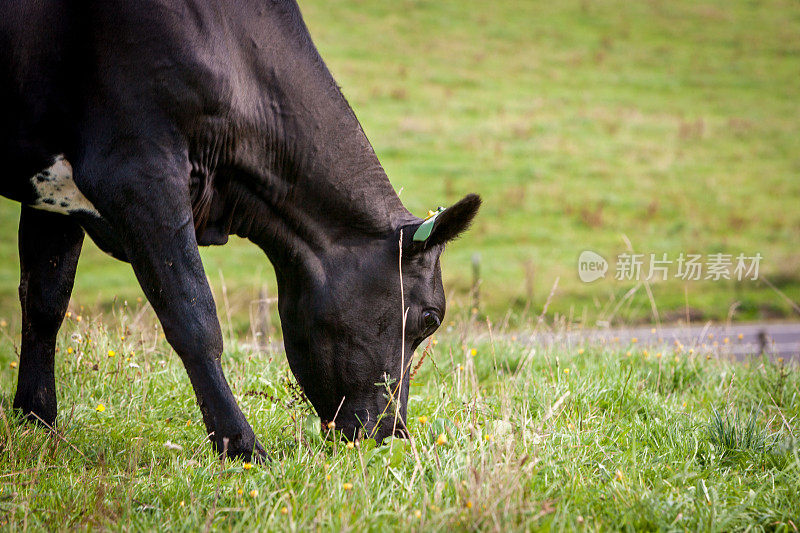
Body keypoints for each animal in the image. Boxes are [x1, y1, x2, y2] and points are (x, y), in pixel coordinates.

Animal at [0, 0, 478, 460]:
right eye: (431, 318)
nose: (392, 434)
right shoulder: (137, 171)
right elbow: (193, 316)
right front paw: (241, 446)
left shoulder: (55, 189)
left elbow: (45, 302)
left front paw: (37, 422)